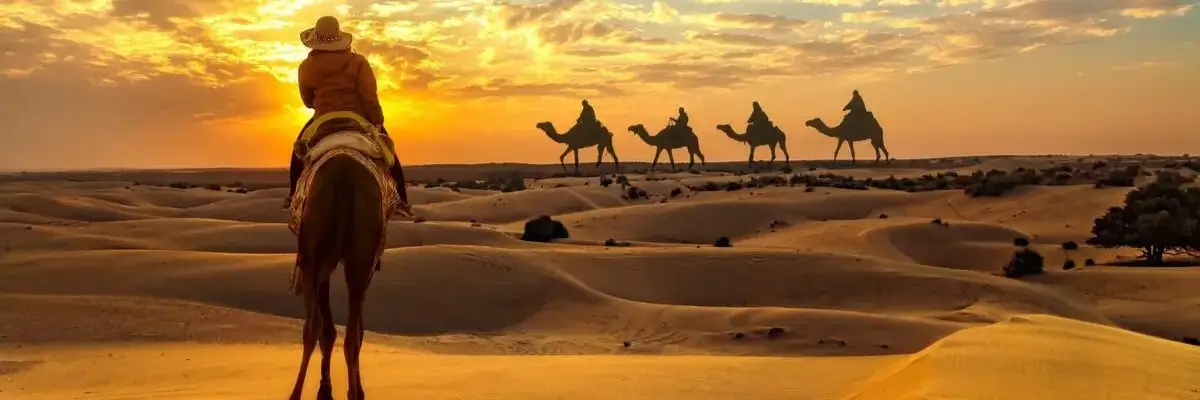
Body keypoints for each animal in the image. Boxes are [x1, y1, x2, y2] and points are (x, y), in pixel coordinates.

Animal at [286, 127, 408, 398]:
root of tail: (343, 173)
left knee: (317, 328)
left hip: (319, 260)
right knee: (344, 333)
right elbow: (340, 330)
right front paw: (329, 389)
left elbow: (330, 330)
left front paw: (327, 389)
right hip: (350, 260)